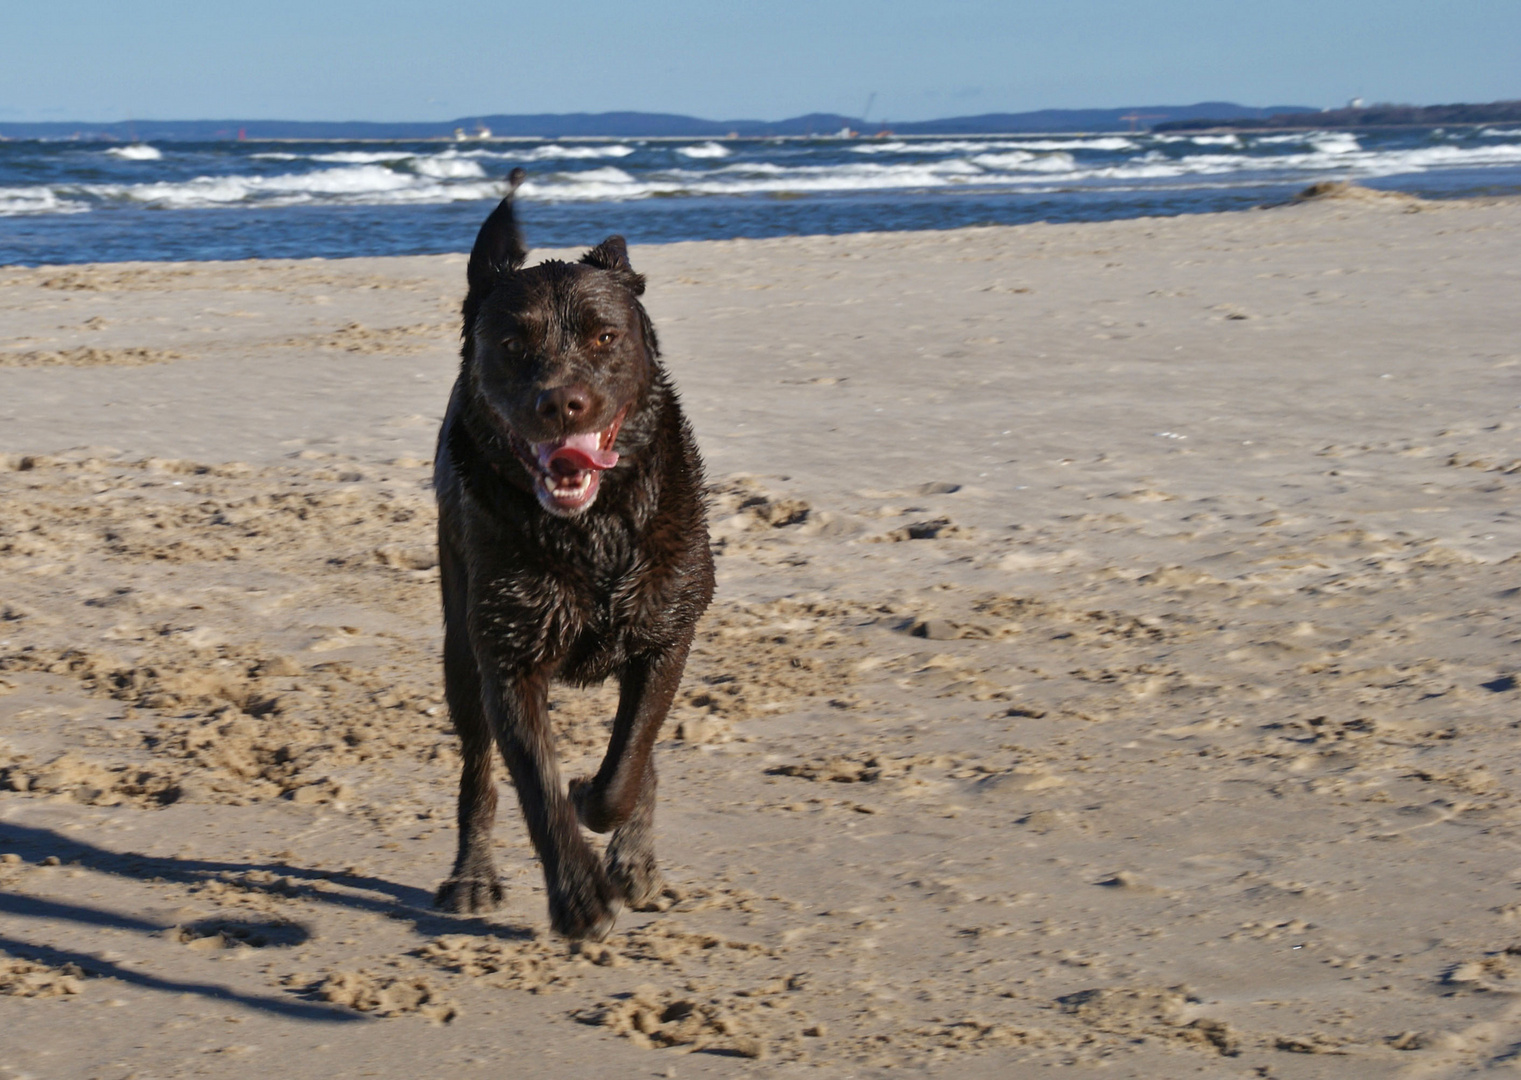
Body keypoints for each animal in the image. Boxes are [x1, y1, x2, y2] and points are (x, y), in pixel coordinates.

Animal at [428, 168, 711, 937]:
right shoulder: (507, 659)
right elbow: (535, 787)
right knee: (476, 771)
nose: (563, 404)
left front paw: (601, 807)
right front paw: (579, 896)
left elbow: (627, 763)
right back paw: (472, 875)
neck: (594, 531)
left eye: (605, 335)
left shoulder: (667, 635)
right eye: (511, 343)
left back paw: (634, 857)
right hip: (458, 648)